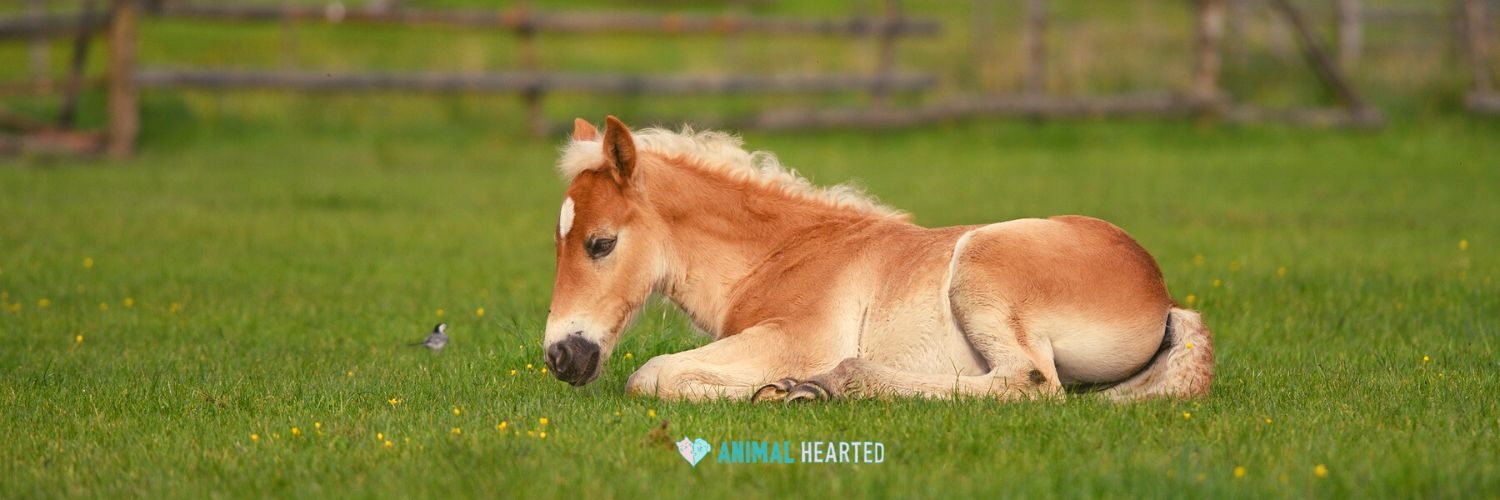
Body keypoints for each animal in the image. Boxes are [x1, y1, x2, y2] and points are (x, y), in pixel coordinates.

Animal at [541, 116, 1214, 402]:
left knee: (1028, 384)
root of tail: (1161, 295)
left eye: (601, 243)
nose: (560, 357)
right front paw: (779, 390)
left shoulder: (795, 337)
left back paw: (830, 385)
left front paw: (782, 389)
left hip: (980, 263)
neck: (784, 253)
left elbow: (654, 377)